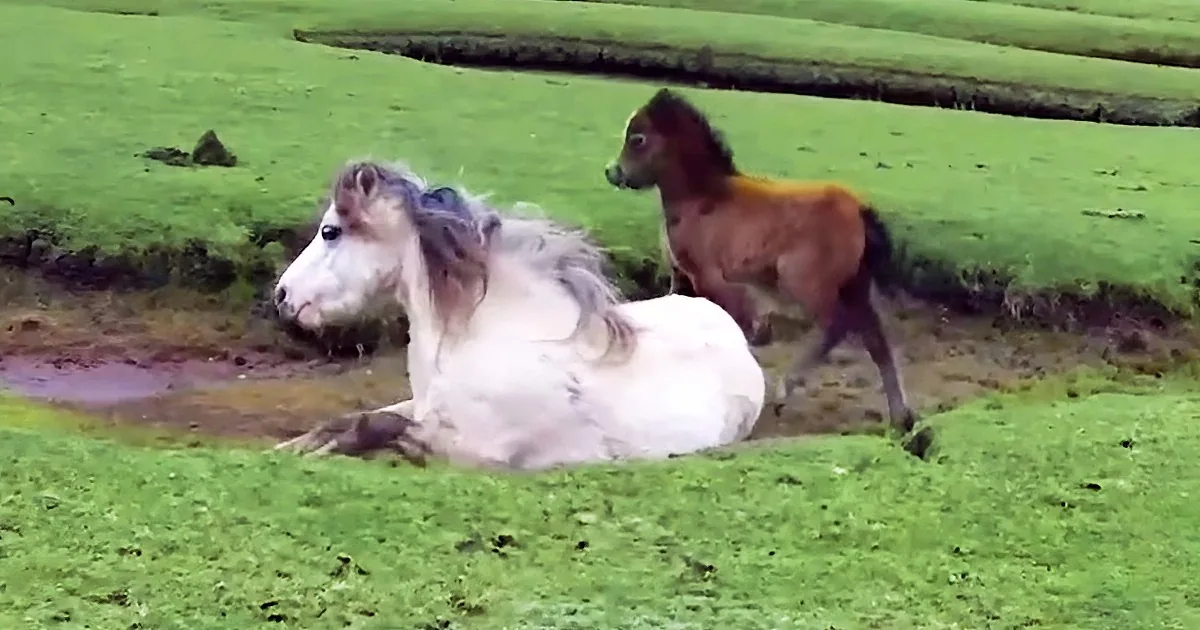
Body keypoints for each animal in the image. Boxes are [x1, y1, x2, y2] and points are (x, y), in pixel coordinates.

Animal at [272, 159, 766, 469]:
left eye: (330, 232)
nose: (282, 295)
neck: (485, 335)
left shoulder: (469, 452)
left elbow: (375, 428)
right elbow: (349, 420)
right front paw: (287, 448)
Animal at [603, 88, 916, 433]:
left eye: (638, 139)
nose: (612, 172)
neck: (703, 200)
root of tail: (858, 209)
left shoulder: (710, 278)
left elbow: (738, 326)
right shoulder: (683, 277)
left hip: (805, 283)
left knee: (837, 325)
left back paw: (785, 390)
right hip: (855, 285)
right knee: (876, 340)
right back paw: (901, 417)